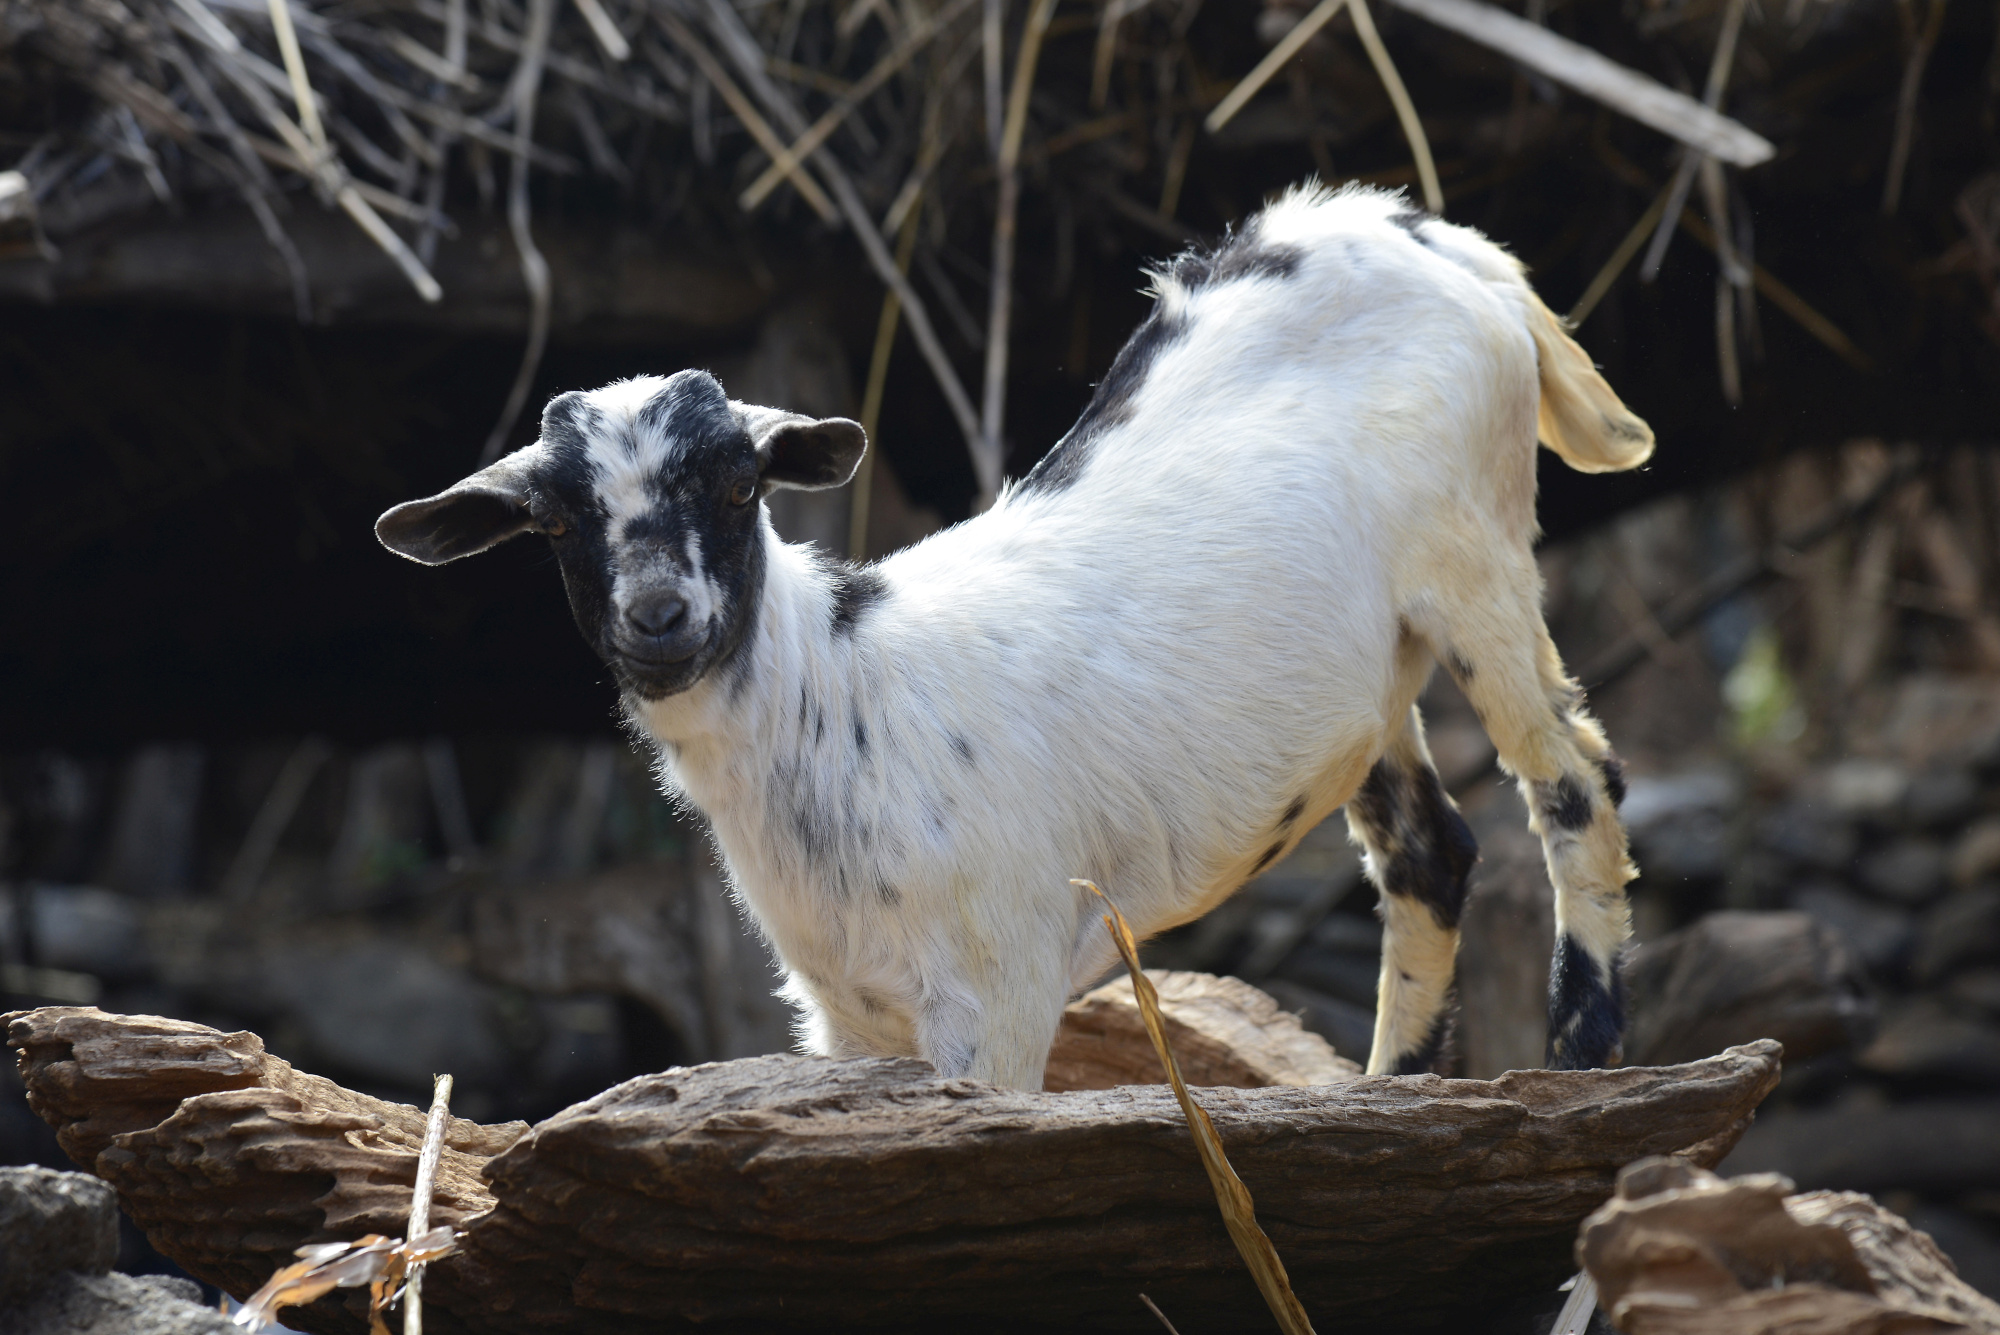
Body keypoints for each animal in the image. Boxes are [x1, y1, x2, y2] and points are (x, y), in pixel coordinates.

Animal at [377, 183, 1652, 1091]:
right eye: (553, 520)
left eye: (740, 487)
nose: (658, 619)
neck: (836, 700)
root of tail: (1421, 232)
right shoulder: (848, 1022)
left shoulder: (995, 995)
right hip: (1367, 679)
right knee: (1429, 853)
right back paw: (1388, 1089)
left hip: (1473, 556)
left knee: (1574, 780)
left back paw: (1577, 1053)